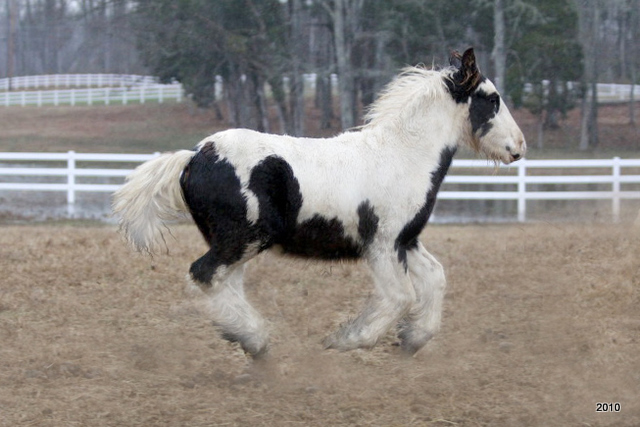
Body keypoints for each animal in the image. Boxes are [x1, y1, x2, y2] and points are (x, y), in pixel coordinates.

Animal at [114, 48, 524, 360]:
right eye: (492, 100)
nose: (518, 148)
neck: (401, 156)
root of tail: (194, 156)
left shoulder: (406, 240)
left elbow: (435, 279)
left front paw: (412, 339)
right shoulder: (381, 244)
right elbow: (399, 297)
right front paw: (346, 340)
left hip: (237, 243)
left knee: (223, 282)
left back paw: (249, 340)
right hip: (243, 239)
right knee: (205, 274)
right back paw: (255, 339)